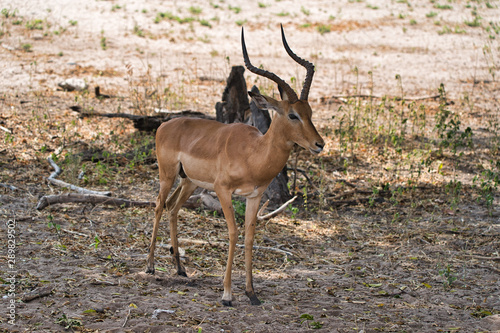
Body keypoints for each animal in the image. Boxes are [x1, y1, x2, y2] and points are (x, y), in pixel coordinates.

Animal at [146, 25, 324, 306]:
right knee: (158, 205)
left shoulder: (254, 196)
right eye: (292, 115)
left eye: (310, 113)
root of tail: (165, 124)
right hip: (167, 175)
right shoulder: (223, 191)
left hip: (189, 182)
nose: (319, 144)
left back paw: (181, 269)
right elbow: (233, 233)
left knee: (173, 208)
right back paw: (151, 266)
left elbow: (250, 237)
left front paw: (251, 293)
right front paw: (227, 294)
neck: (253, 154)